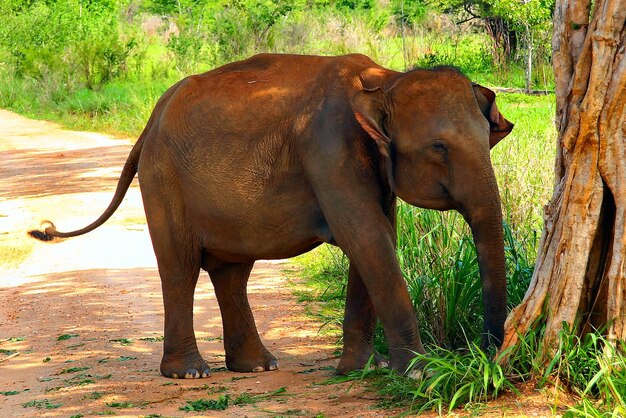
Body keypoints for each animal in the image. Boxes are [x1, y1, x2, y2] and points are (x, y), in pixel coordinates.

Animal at [28, 52, 512, 378]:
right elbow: (367, 238)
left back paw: (257, 367)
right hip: (163, 178)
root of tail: (151, 119)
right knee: (180, 267)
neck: (385, 80)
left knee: (231, 272)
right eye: (439, 147)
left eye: (489, 137)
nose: (487, 357)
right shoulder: (328, 150)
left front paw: (362, 370)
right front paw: (420, 372)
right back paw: (191, 372)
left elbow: (376, 240)